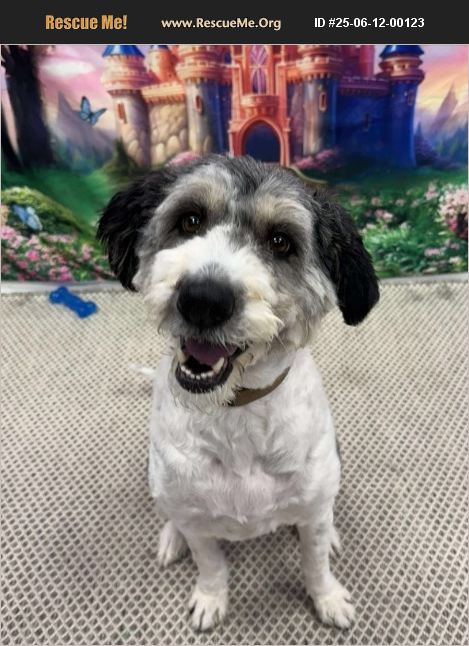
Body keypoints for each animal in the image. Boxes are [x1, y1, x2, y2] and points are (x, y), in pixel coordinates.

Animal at [98, 155, 379, 631]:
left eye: (281, 242)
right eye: (190, 219)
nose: (204, 299)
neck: (236, 411)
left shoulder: (312, 510)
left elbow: (315, 562)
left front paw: (328, 599)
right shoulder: (197, 522)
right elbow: (211, 565)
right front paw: (211, 599)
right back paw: (171, 537)